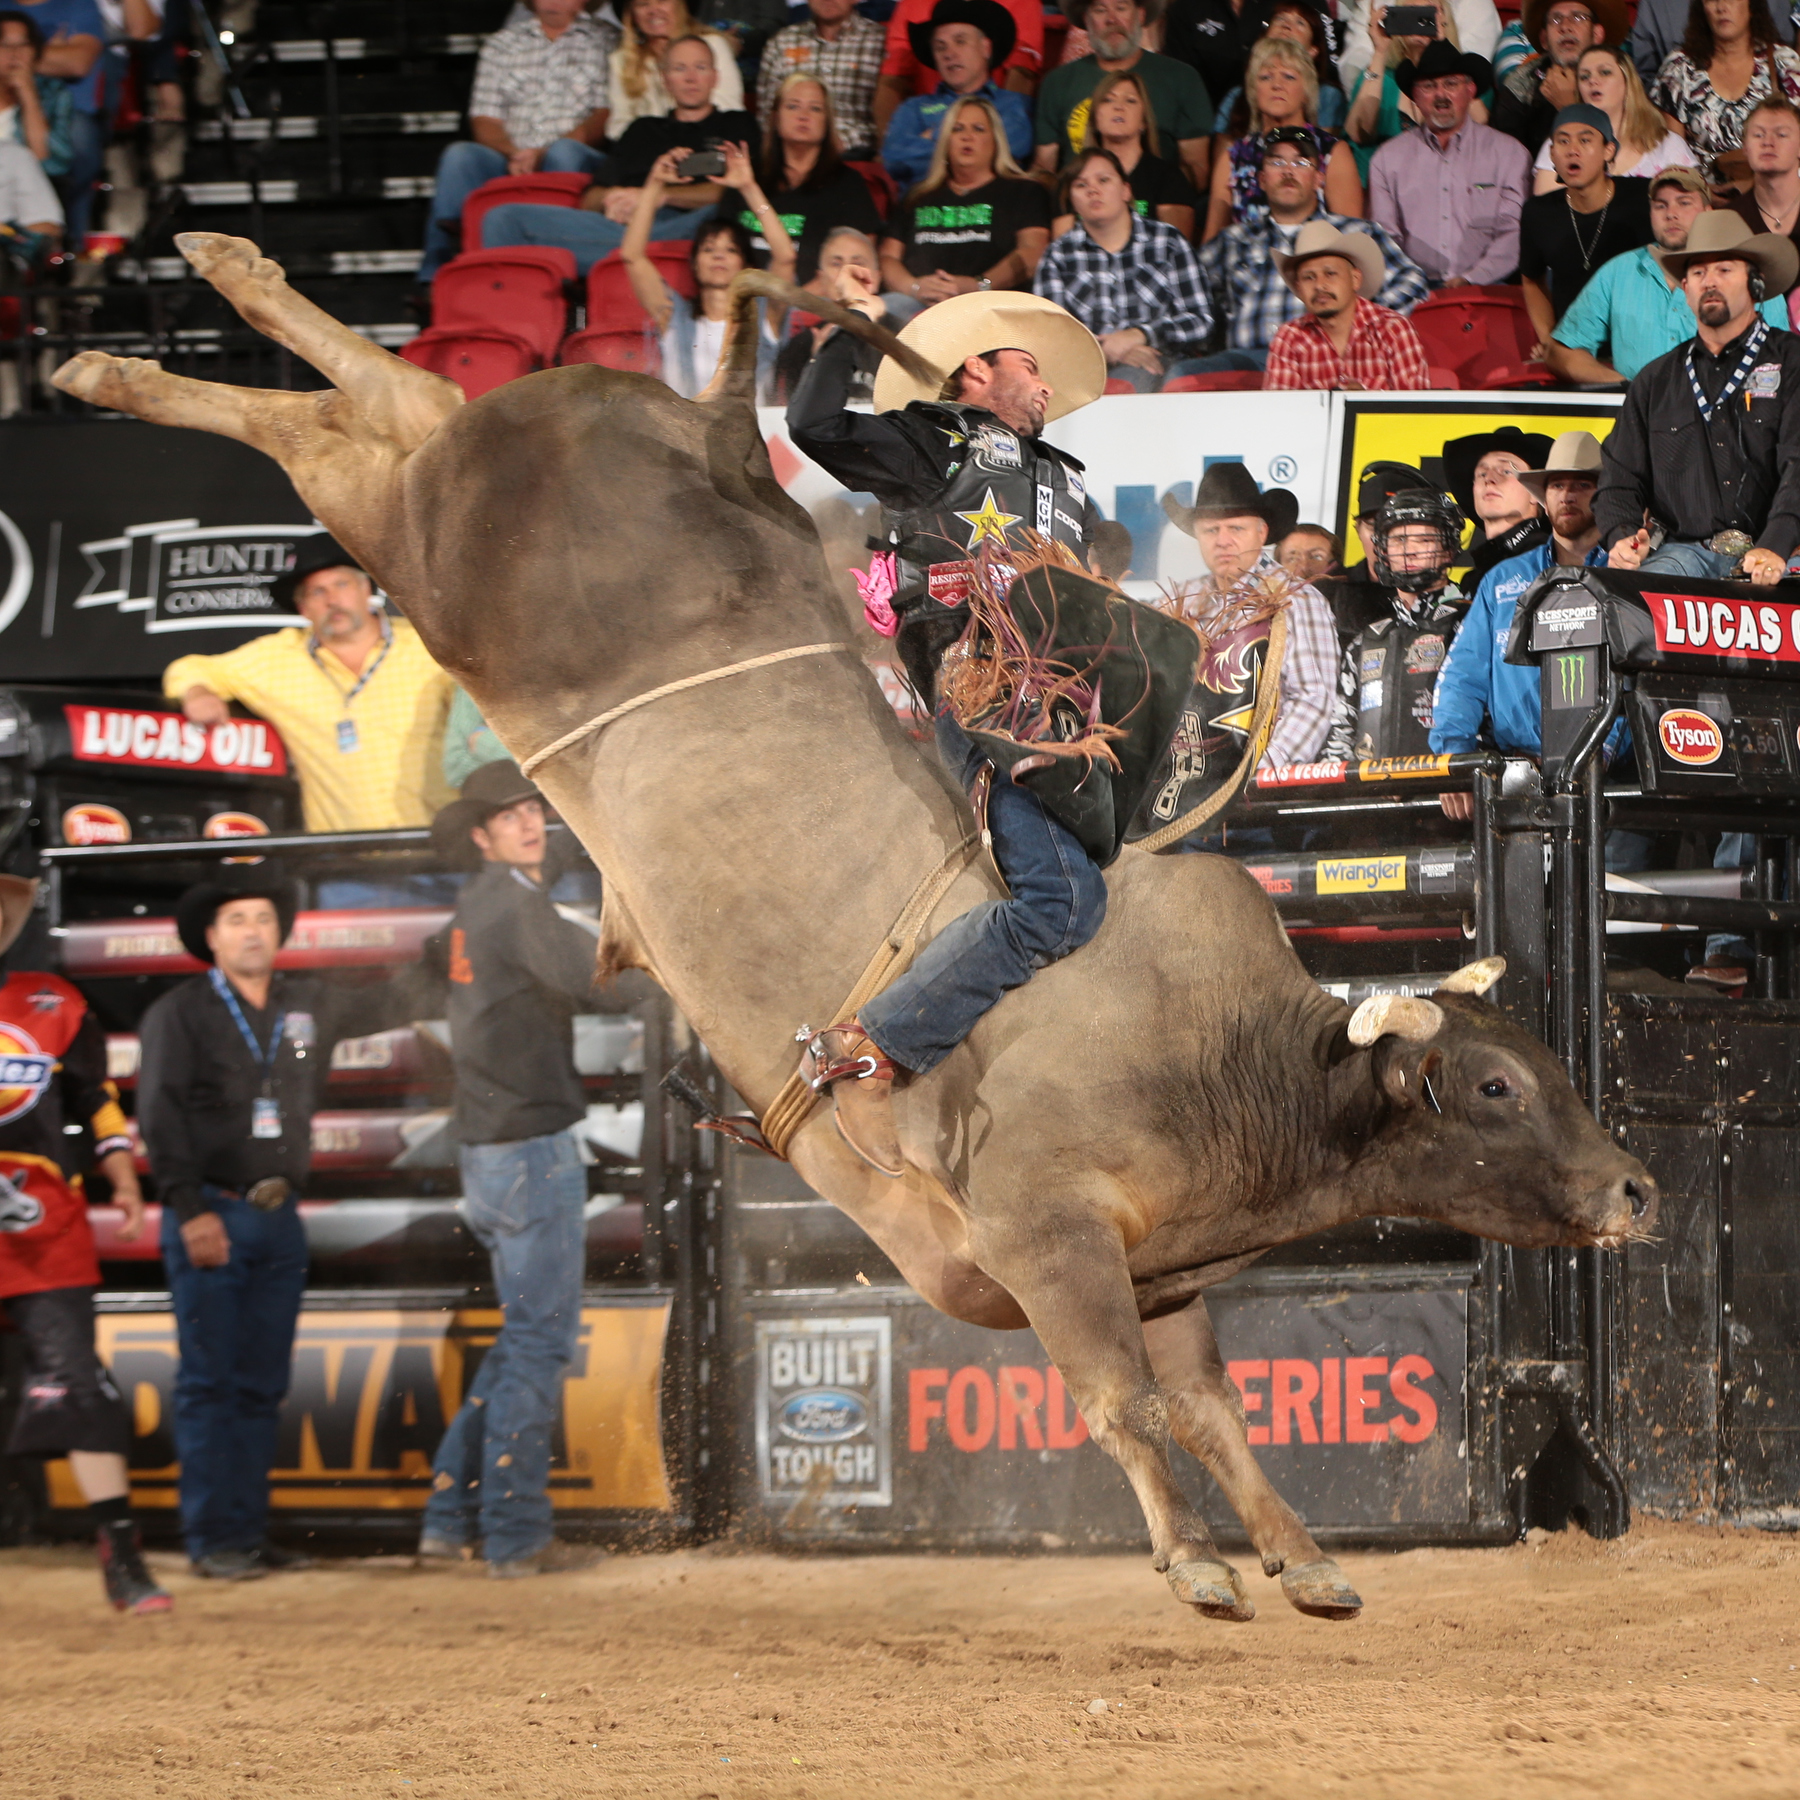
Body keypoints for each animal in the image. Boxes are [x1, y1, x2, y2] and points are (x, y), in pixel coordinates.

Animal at [56, 232, 1656, 1627]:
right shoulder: (1049, 1236)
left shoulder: (1166, 1274)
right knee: (329, 434)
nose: (1635, 1191)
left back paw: (198, 288)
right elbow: (1124, 1401)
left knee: (392, 398)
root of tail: (707, 442)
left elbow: (1211, 1407)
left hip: (447, 504)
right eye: (1495, 1086)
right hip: (441, 555)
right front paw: (1199, 1567)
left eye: (1553, 1067)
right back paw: (117, 359)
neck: (1237, 1062)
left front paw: (1302, 1561)